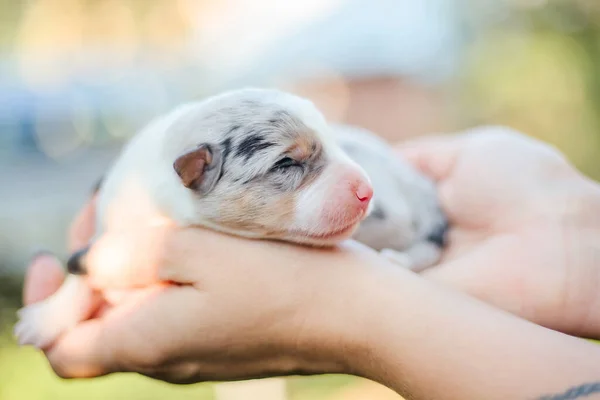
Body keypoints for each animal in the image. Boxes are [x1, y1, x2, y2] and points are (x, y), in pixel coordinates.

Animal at [14, 88, 448, 350]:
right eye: (287, 163)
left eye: (334, 143)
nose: (366, 191)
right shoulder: (113, 222)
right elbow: (84, 275)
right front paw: (45, 317)